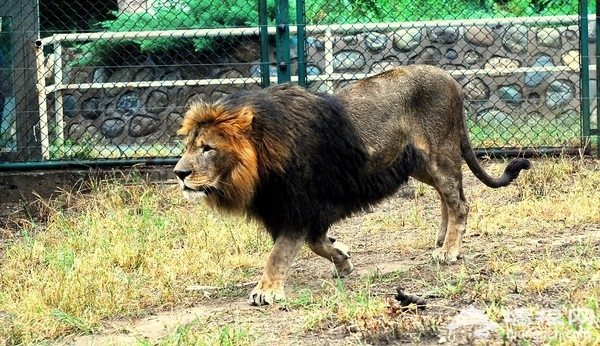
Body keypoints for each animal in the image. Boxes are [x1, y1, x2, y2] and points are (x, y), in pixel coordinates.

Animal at [173, 64, 528, 306]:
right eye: (188, 145)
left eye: (208, 148)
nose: (179, 173)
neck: (259, 167)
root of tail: (451, 79)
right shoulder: (302, 210)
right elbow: (317, 243)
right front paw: (342, 258)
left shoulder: (299, 206)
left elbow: (280, 253)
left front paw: (267, 290)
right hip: (419, 165)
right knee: (447, 195)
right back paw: (441, 239)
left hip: (439, 154)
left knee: (460, 202)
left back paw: (449, 251)